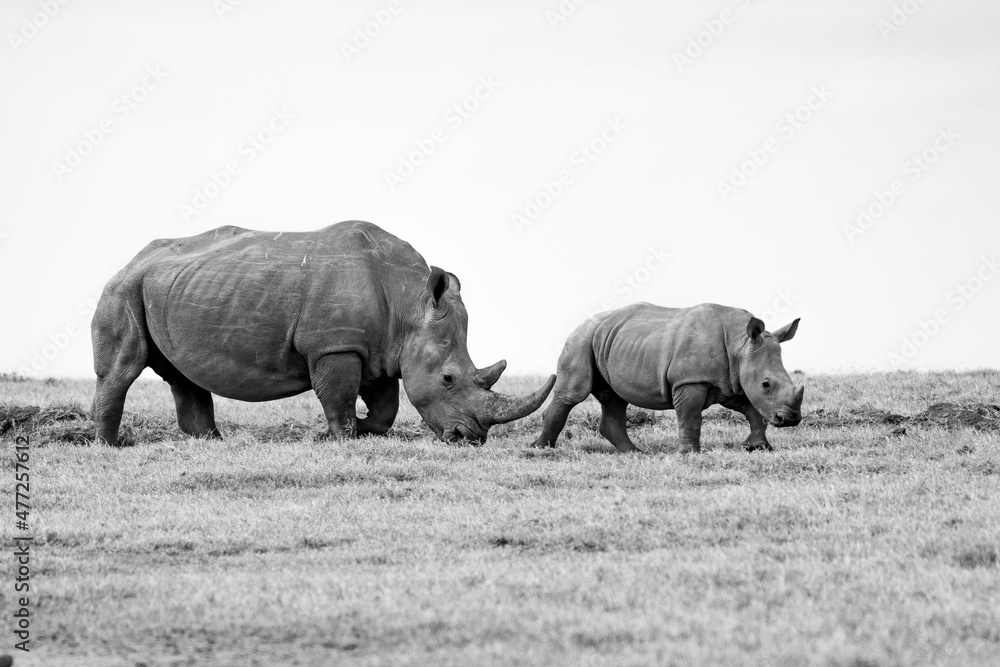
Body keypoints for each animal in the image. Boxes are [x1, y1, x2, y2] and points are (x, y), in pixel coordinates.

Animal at [91, 221, 555, 445]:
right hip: (123, 288)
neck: (409, 301)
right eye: (448, 378)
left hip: (169, 287)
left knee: (183, 376)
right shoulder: (335, 346)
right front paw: (334, 437)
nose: (469, 439)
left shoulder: (379, 349)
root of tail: (133, 259)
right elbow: (338, 398)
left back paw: (210, 443)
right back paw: (112, 446)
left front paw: (363, 431)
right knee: (123, 368)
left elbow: (385, 409)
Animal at [531, 303, 803, 453]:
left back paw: (633, 453)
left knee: (614, 397)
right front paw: (689, 454)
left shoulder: (729, 380)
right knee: (574, 393)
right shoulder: (689, 380)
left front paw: (758, 447)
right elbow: (690, 417)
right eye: (766, 384)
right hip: (581, 340)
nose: (790, 419)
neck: (741, 344)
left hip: (611, 339)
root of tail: (582, 323)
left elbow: (751, 409)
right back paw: (540, 449)